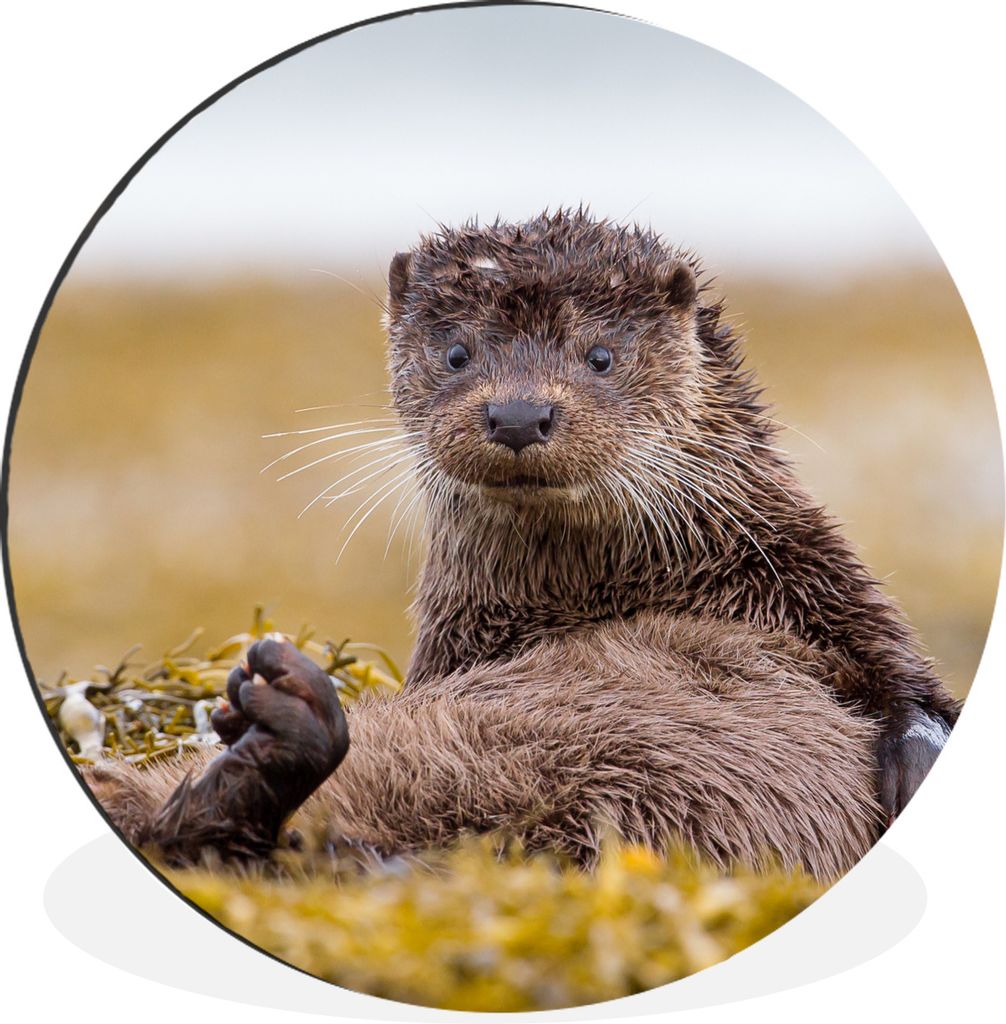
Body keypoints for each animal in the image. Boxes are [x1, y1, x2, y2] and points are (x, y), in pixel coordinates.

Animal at [85, 210, 958, 881]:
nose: (515, 414)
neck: (627, 591)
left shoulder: (823, 587)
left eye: (601, 355)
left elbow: (914, 692)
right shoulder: (454, 651)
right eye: (456, 352)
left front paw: (916, 760)